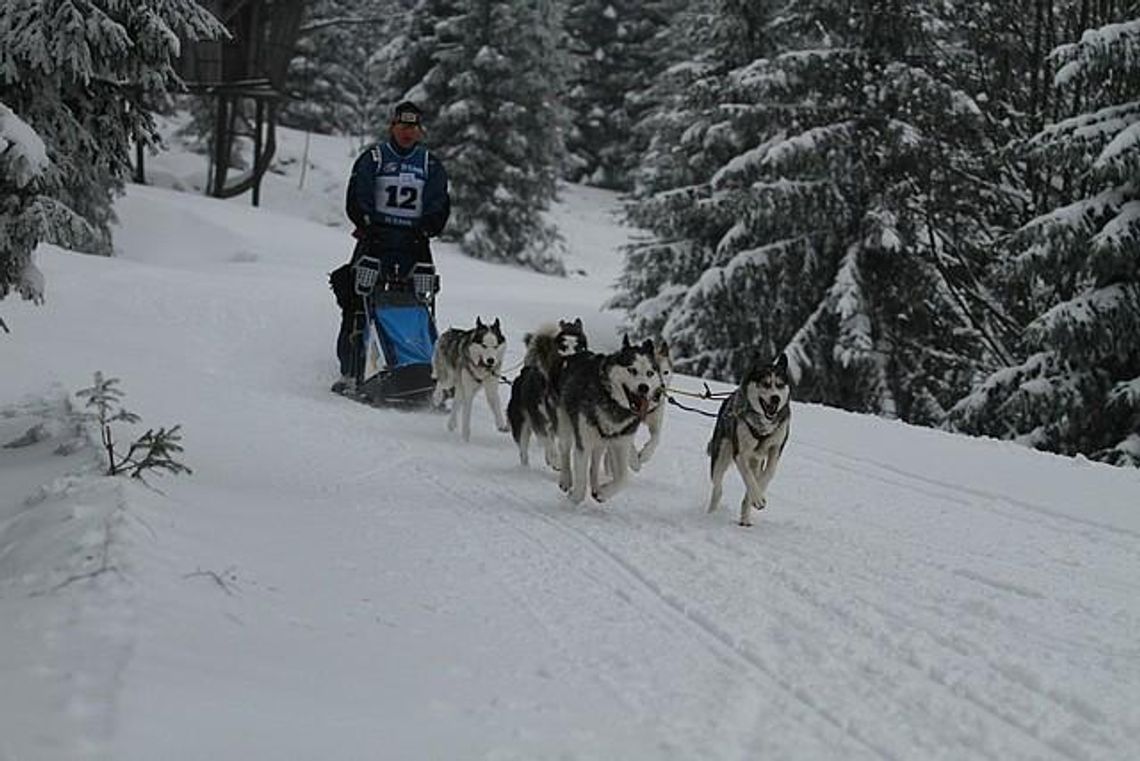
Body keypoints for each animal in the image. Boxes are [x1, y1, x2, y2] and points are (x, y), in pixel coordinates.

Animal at [706, 353, 788, 526]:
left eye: (780, 385)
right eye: (765, 383)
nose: (776, 398)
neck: (762, 424)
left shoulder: (775, 450)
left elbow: (767, 474)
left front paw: (758, 495)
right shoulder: (740, 453)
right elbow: (748, 477)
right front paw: (757, 498)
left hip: (756, 460)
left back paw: (745, 518)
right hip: (721, 456)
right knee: (717, 488)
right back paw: (711, 513)